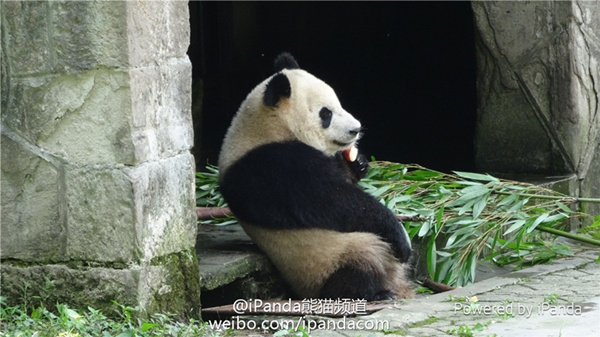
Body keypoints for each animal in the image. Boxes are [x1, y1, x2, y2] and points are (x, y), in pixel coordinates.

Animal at [218, 52, 414, 300]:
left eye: (339, 103)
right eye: (326, 113)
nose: (356, 129)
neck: (269, 129)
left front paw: (357, 162)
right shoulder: (273, 168)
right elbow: (336, 201)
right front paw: (401, 237)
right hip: (331, 259)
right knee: (359, 266)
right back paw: (376, 292)